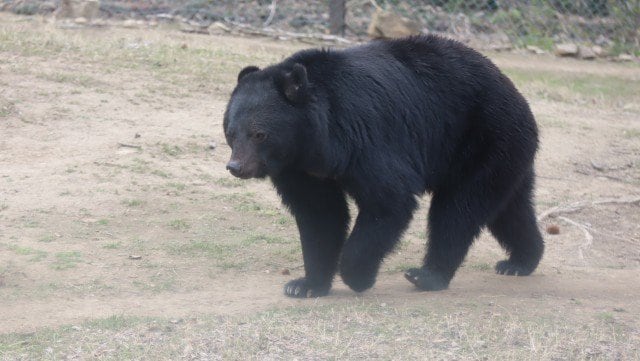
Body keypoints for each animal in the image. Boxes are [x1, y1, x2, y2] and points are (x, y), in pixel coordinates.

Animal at [222, 35, 544, 296]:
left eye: (259, 134)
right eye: (231, 132)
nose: (236, 166)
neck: (313, 141)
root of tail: (517, 95)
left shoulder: (366, 139)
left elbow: (388, 199)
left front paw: (357, 276)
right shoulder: (299, 168)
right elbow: (319, 213)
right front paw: (305, 285)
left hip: (481, 138)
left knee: (457, 209)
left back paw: (426, 275)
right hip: (501, 153)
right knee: (508, 208)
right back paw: (520, 260)